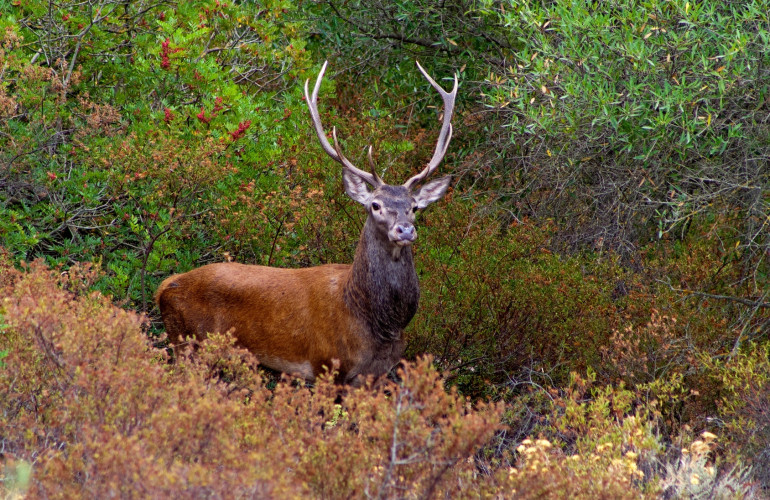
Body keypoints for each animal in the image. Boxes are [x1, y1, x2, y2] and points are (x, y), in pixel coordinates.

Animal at [155, 61, 457, 384]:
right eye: (375, 205)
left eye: (414, 207)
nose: (405, 229)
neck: (375, 320)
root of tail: (163, 287)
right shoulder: (327, 363)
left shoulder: (378, 373)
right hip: (188, 343)